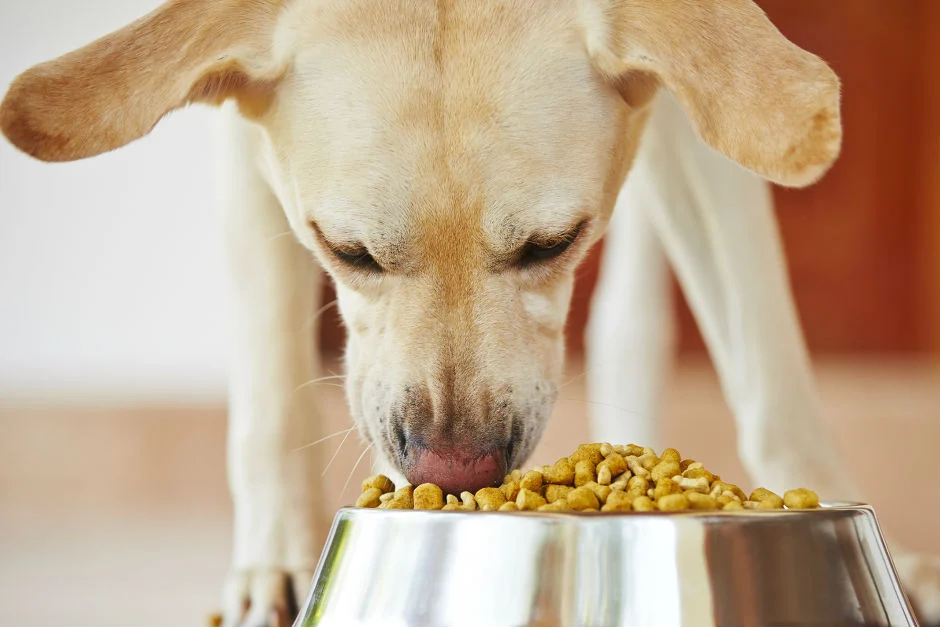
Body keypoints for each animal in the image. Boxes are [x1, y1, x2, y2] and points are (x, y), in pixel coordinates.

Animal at [0, 0, 936, 624]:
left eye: (555, 241)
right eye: (348, 250)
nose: (454, 471)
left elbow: (767, 358)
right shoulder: (246, 142)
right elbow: (267, 378)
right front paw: (275, 563)